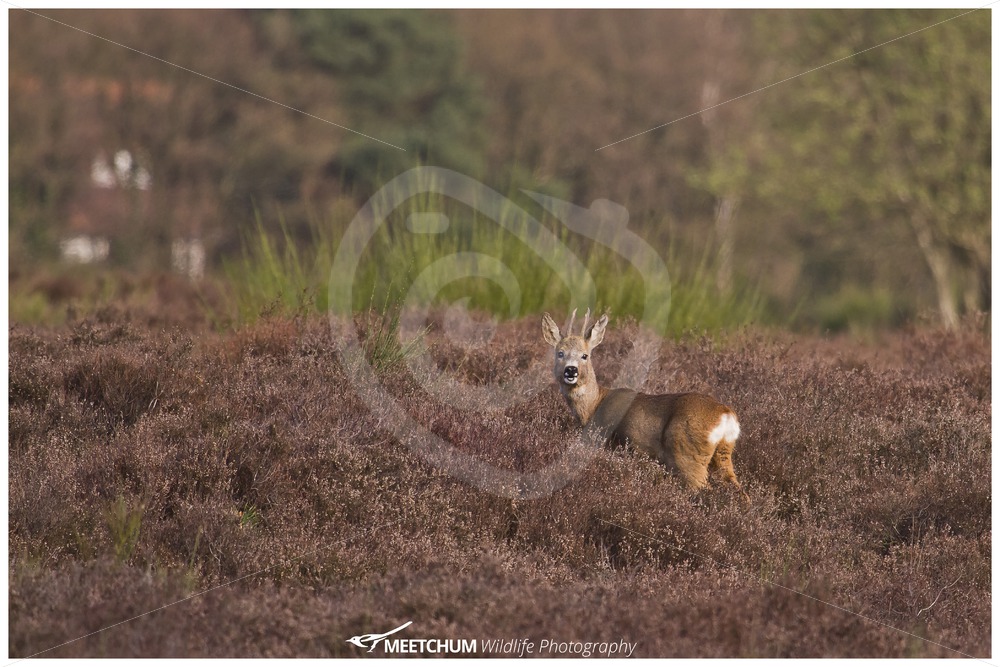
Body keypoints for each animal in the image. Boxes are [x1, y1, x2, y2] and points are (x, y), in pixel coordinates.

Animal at [542, 309, 747, 500]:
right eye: (560, 353)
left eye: (585, 355)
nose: (571, 370)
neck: (594, 405)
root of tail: (725, 414)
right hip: (722, 454)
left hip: (687, 454)